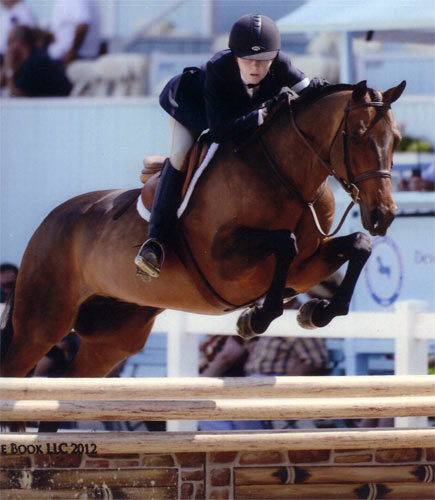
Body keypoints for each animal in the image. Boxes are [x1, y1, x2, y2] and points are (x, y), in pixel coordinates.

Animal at [1, 80, 408, 388]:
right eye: (357, 137)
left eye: (397, 140)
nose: (383, 215)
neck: (287, 177)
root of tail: (49, 222)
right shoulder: (223, 263)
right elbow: (284, 242)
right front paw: (256, 318)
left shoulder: (308, 265)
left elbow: (358, 245)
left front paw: (317, 313)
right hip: (41, 323)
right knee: (17, 367)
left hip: (114, 338)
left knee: (67, 383)